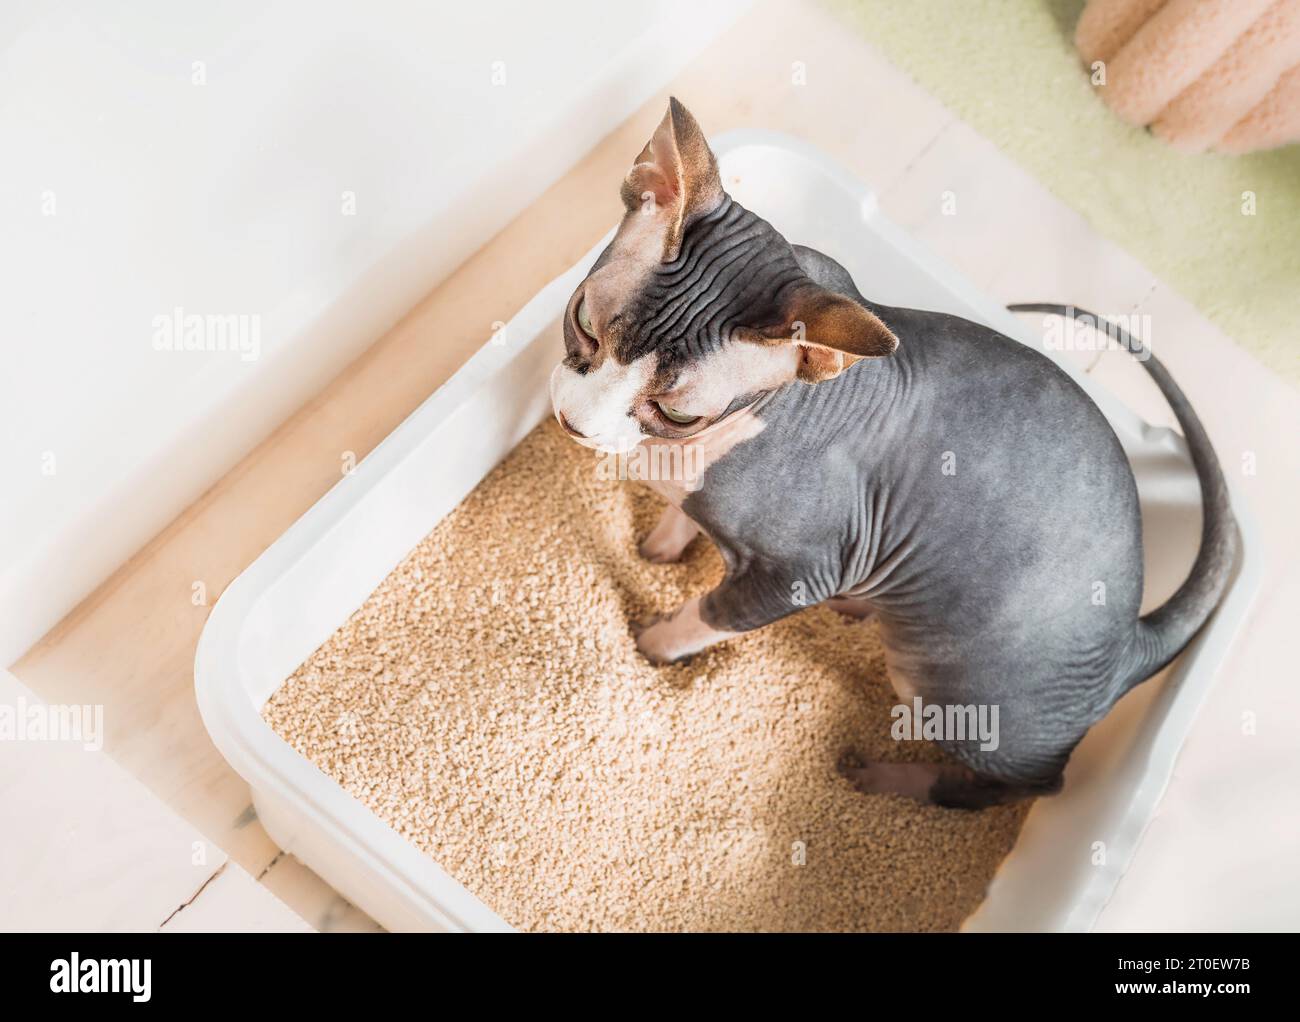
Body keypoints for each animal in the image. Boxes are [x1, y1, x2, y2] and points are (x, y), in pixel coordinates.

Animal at [548, 99, 1237, 806]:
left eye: (680, 412)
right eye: (583, 323)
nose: (575, 422)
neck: (706, 446)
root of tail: (1129, 641)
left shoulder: (800, 574)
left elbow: (704, 616)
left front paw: (652, 645)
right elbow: (683, 516)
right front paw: (661, 545)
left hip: (942, 688)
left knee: (1013, 785)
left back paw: (883, 775)